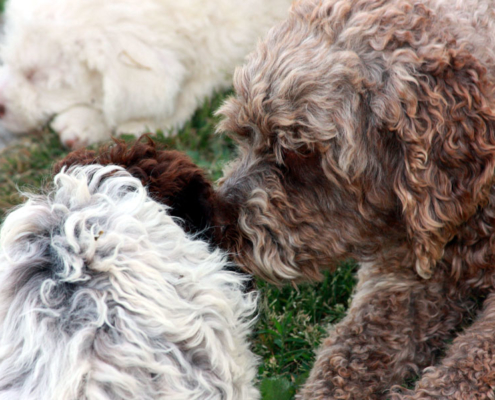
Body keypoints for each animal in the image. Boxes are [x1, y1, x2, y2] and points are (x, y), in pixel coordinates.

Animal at [216, 0, 495, 398]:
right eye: (245, 133)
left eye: (302, 151)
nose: (217, 222)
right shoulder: (406, 280)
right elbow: (346, 357)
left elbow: (466, 370)